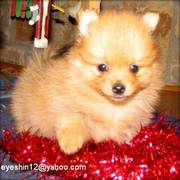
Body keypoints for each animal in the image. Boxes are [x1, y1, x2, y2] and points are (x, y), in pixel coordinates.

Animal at [11, 9, 163, 154]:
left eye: (134, 68)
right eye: (102, 67)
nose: (119, 88)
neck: (111, 106)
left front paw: (127, 143)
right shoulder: (64, 103)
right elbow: (74, 119)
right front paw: (70, 143)